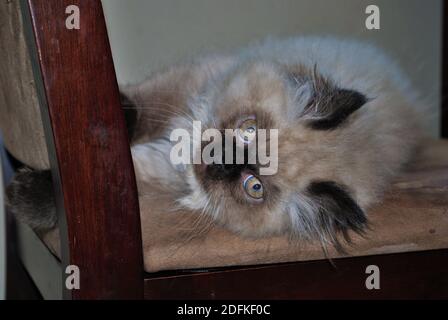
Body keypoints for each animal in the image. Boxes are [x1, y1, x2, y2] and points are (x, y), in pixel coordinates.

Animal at [4, 36, 424, 249]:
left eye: (253, 187)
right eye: (249, 129)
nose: (219, 161)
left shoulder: (156, 173)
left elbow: (94, 183)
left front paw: (25, 195)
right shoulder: (183, 87)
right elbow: (131, 109)